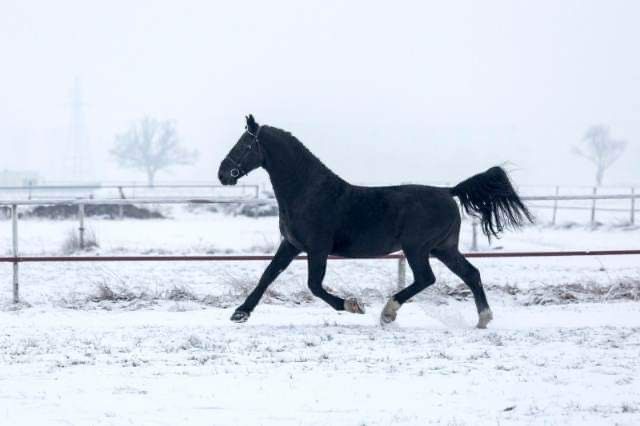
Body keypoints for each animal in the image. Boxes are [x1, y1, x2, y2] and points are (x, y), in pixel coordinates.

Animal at [218, 115, 532, 328]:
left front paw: (353, 305)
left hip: (417, 248)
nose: (223, 174)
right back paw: (483, 319)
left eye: (244, 144)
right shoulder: (291, 245)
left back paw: (388, 312)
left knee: (427, 278)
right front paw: (240, 312)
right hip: (443, 248)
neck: (309, 191)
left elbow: (314, 285)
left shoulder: (317, 249)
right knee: (471, 273)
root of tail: (448, 192)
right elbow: (268, 274)